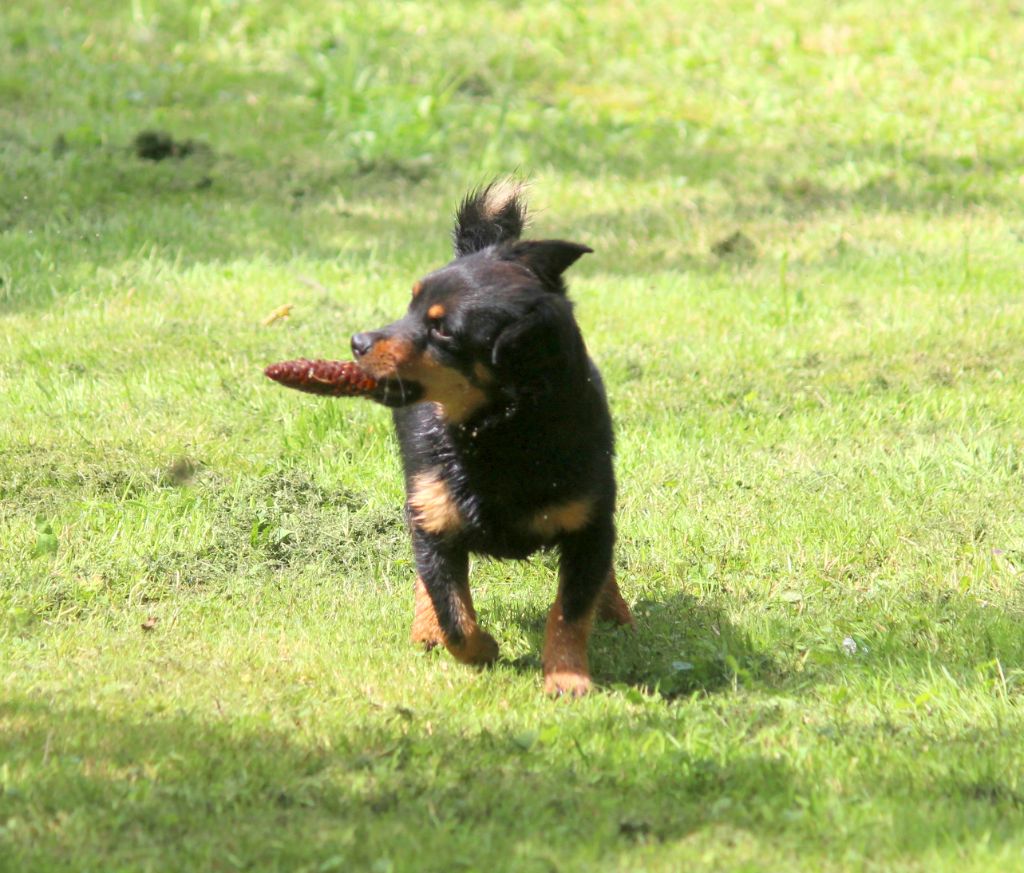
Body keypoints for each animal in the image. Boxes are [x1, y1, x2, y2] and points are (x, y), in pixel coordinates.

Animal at [350, 179, 630, 695]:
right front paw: (482, 650)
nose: (357, 342)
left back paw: (616, 609)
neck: (498, 433)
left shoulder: (588, 524)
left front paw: (566, 676)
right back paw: (425, 628)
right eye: (410, 306)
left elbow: (570, 609)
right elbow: (454, 614)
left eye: (442, 329)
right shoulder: (435, 519)